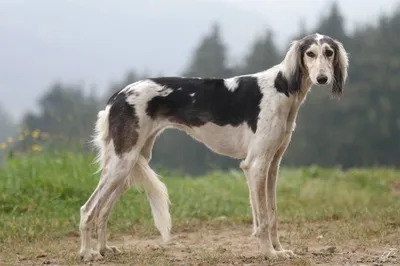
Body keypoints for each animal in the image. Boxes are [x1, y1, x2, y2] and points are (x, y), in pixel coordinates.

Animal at [77, 33, 346, 262]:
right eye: (310, 53)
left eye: (329, 52)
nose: (323, 78)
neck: (282, 88)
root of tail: (117, 96)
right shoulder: (255, 165)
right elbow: (262, 219)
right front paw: (269, 253)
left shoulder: (272, 165)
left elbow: (271, 214)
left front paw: (279, 249)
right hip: (123, 163)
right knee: (88, 209)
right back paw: (87, 253)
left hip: (131, 163)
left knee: (103, 210)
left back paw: (103, 249)